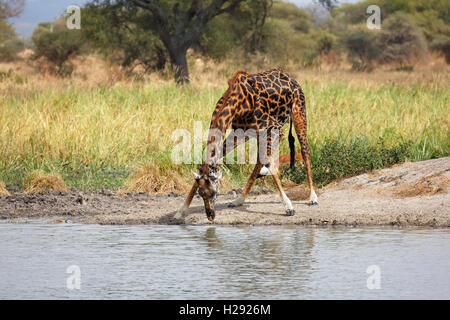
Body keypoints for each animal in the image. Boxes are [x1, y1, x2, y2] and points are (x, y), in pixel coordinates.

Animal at [174, 68, 318, 221]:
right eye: (200, 194)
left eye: (214, 192)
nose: (210, 216)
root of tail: (291, 78)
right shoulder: (239, 133)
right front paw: (181, 211)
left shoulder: (273, 128)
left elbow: (268, 161)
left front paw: (289, 207)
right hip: (257, 133)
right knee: (261, 159)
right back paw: (239, 200)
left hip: (298, 113)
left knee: (305, 150)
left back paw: (313, 197)